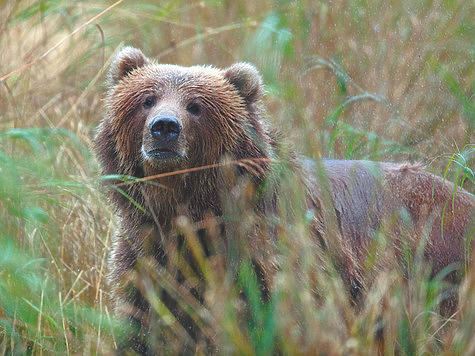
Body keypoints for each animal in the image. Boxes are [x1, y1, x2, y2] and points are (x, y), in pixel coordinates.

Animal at [94, 46, 475, 354]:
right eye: (147, 99)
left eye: (196, 106)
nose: (165, 127)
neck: (191, 207)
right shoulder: (147, 252)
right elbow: (149, 319)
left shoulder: (271, 252)